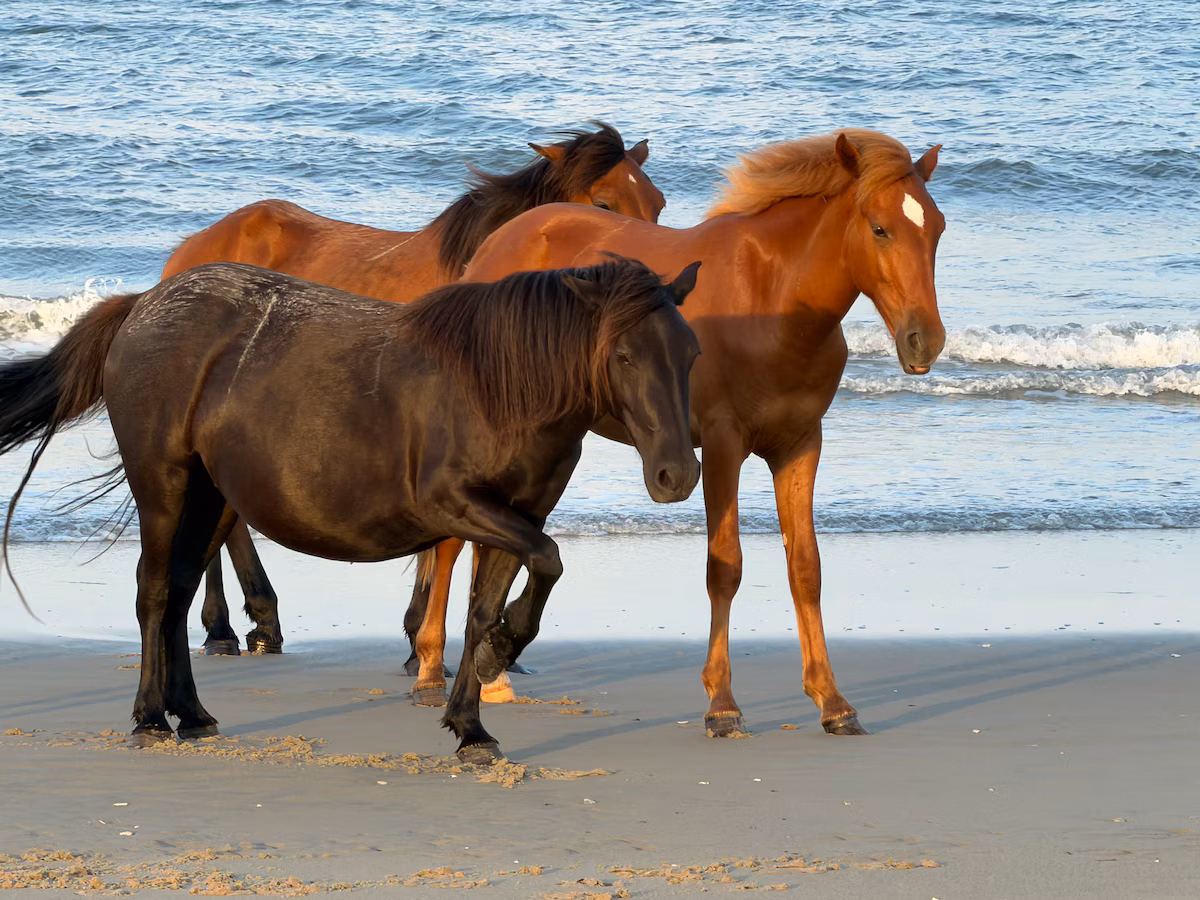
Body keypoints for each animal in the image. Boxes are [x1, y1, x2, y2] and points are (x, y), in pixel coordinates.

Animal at [0, 258, 701, 763]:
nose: (677, 475)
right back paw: (149, 717)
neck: (496, 387)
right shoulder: (455, 504)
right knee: (152, 592)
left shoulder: (520, 516)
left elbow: (491, 603)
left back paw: (192, 715)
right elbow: (546, 564)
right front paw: (500, 655)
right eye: (624, 355)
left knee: (177, 593)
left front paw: (473, 722)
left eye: (689, 352)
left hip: (213, 499)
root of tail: (143, 305)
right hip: (165, 486)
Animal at [403, 129, 946, 735]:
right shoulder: (724, 445)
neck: (774, 299)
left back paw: (492, 676)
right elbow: (725, 566)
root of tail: (496, 244)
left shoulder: (801, 445)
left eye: (937, 228)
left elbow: (806, 568)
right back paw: (430, 669)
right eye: (879, 228)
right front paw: (722, 705)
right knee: (450, 543)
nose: (925, 339)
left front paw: (832, 702)